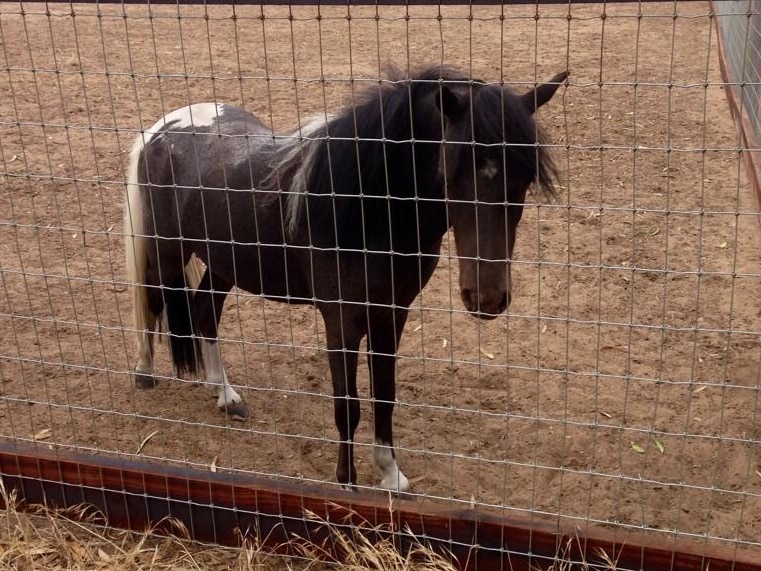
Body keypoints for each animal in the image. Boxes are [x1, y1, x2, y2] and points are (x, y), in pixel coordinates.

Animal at [124, 66, 564, 492]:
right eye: (452, 173)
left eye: (524, 178)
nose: (487, 298)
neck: (365, 209)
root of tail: (161, 128)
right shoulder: (342, 324)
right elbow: (347, 404)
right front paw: (347, 484)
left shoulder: (391, 315)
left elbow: (384, 395)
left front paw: (391, 474)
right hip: (167, 251)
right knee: (152, 299)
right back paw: (144, 373)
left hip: (224, 261)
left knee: (205, 310)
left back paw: (226, 395)